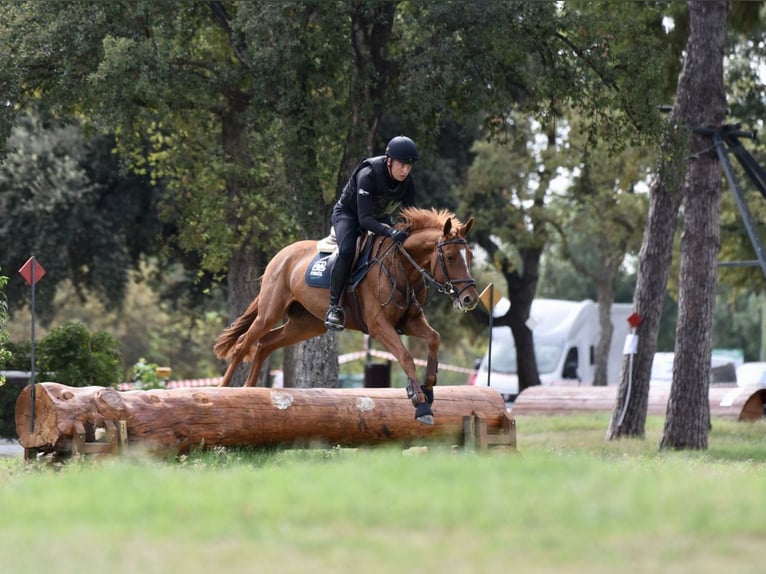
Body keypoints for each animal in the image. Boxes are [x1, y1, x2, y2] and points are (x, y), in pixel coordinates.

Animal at [214, 209, 480, 426]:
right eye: (450, 257)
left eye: (470, 256)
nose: (470, 299)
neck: (402, 268)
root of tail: (280, 256)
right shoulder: (378, 325)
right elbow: (405, 357)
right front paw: (420, 402)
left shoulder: (409, 322)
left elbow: (434, 338)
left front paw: (429, 385)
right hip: (271, 311)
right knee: (244, 344)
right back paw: (222, 391)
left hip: (306, 325)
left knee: (265, 343)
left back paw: (248, 392)